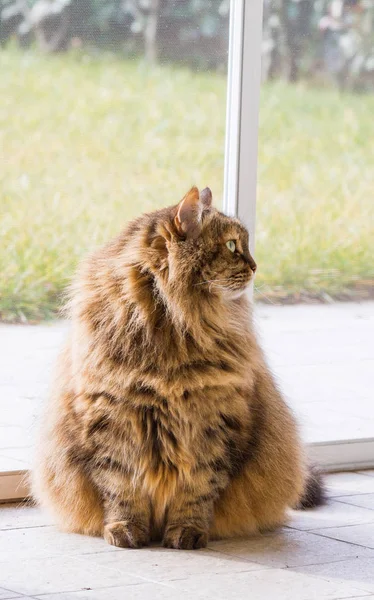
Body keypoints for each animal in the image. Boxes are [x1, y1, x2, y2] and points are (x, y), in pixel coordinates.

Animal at [32, 186, 324, 548]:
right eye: (232, 246)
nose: (256, 266)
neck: (172, 329)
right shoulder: (111, 421)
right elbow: (121, 488)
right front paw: (125, 530)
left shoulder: (214, 422)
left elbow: (197, 489)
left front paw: (187, 533)